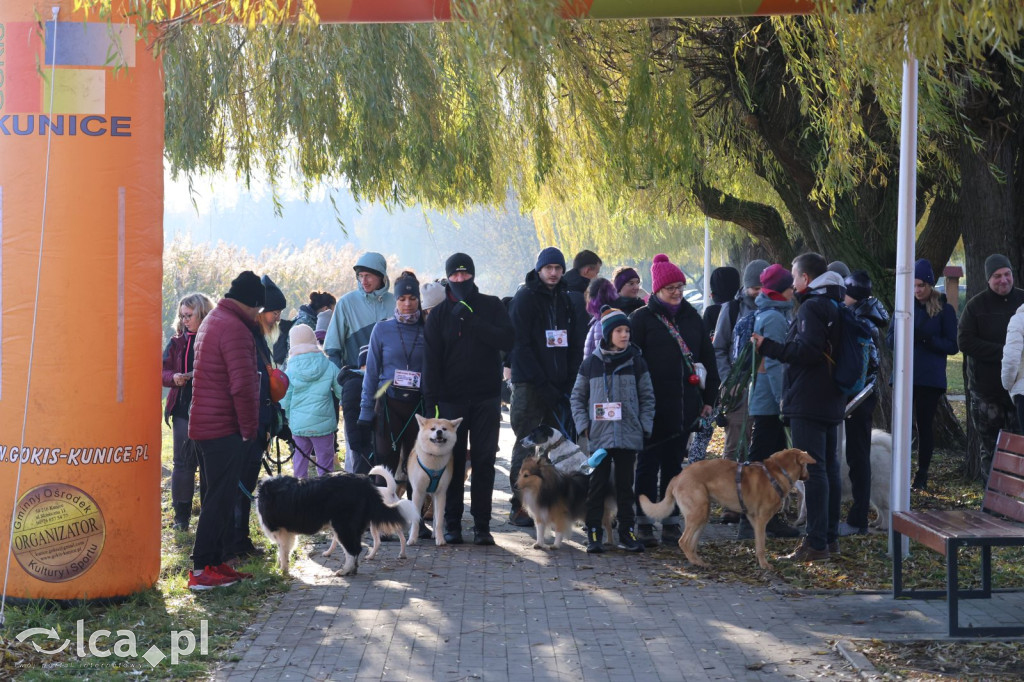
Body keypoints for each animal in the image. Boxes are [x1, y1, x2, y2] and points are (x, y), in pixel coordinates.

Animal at [638, 446, 815, 569]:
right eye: (806, 466)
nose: (808, 477)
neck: (777, 472)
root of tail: (677, 477)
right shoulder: (761, 520)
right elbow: (761, 546)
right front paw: (764, 564)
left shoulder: (753, 519)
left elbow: (758, 543)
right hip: (698, 512)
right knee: (683, 541)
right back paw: (695, 561)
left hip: (702, 513)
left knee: (691, 543)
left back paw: (699, 561)